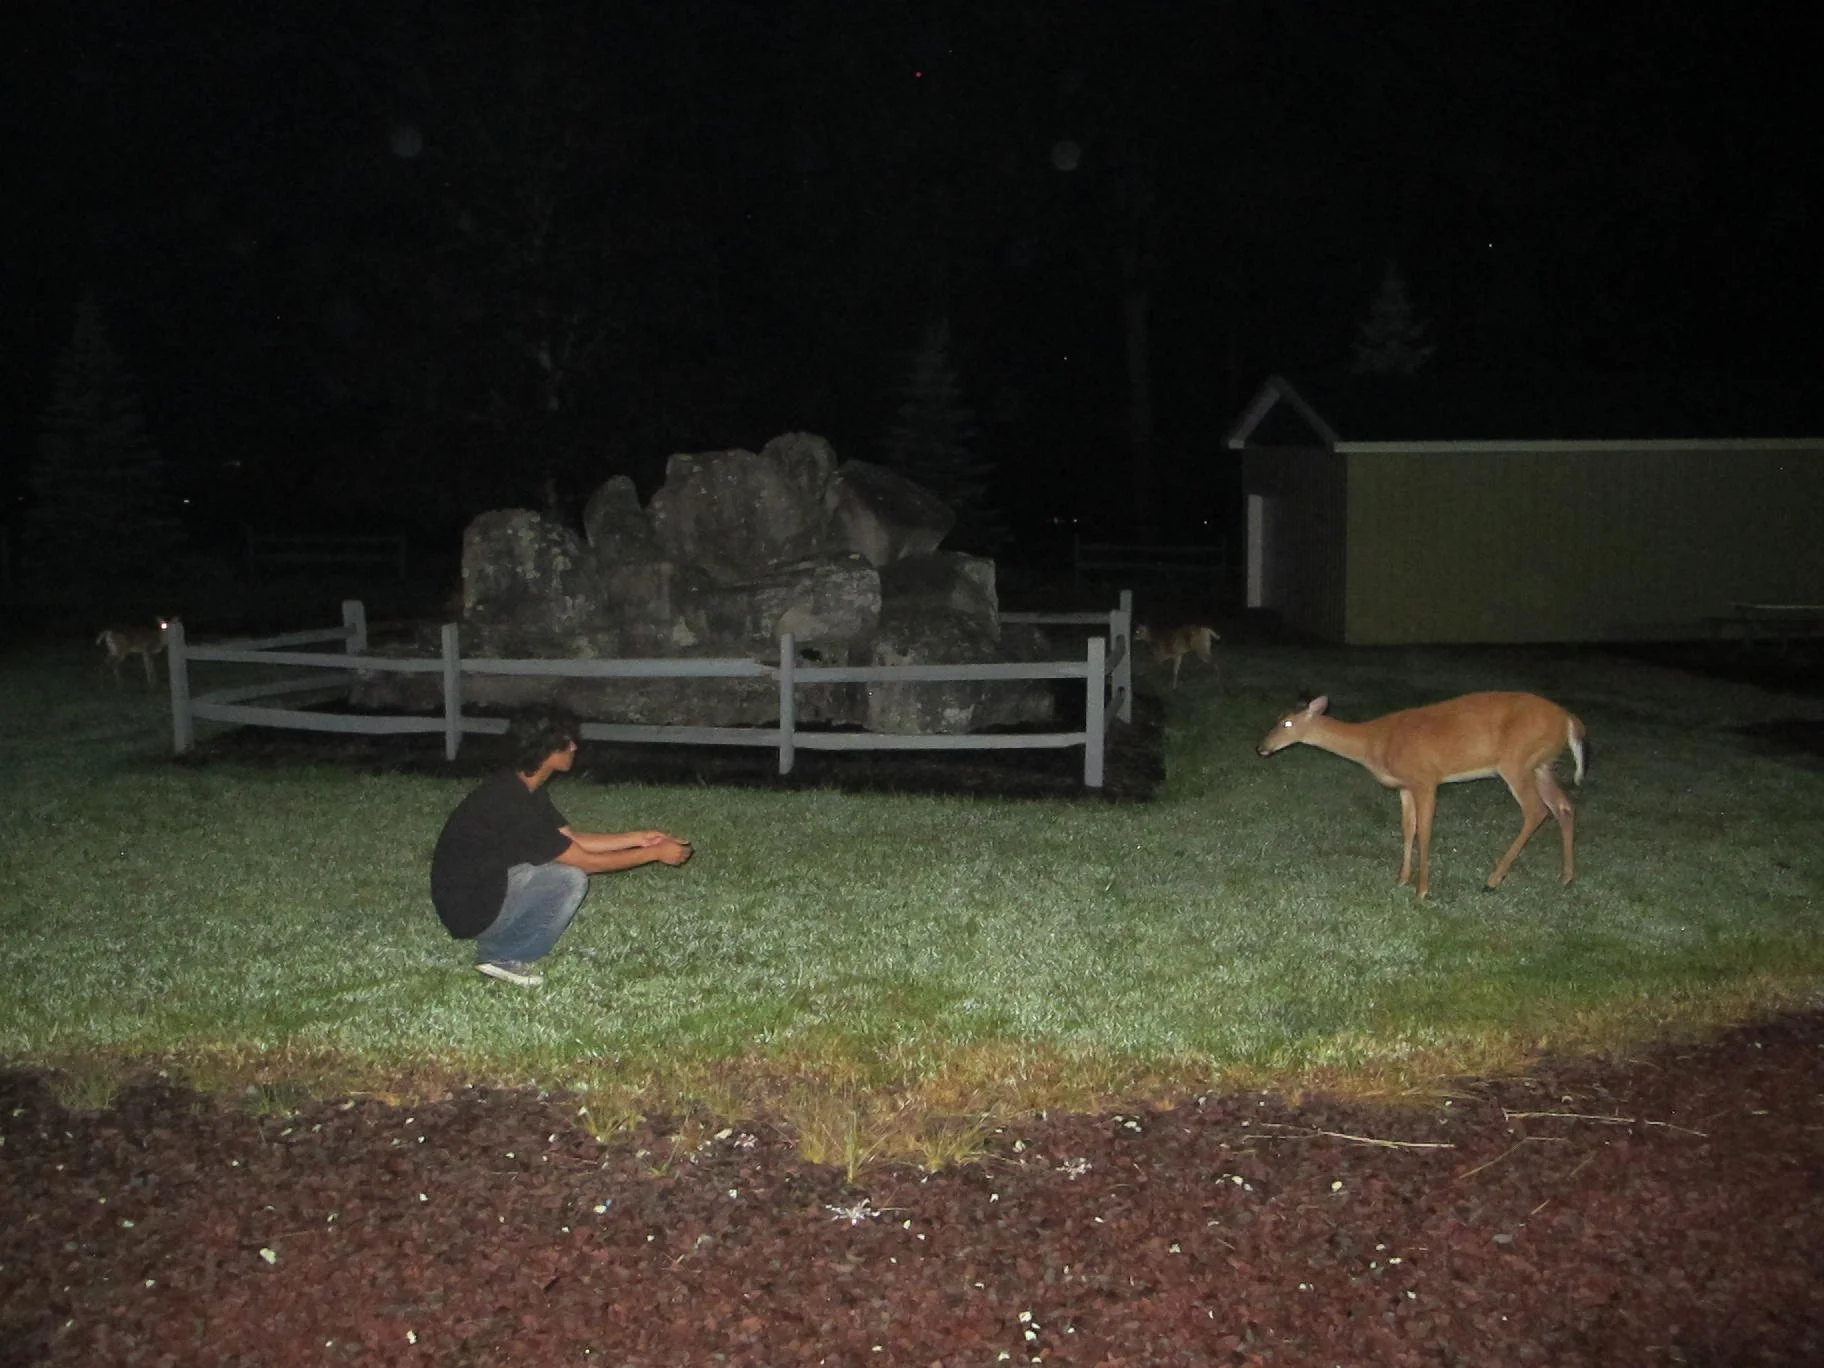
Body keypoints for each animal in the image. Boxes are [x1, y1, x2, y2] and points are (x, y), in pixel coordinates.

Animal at [1256, 691, 1586, 899]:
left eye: (1287, 723)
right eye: (1276, 719)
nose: (1261, 748)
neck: (1374, 742)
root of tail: (1570, 721)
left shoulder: (1426, 779)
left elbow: (1426, 831)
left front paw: (1422, 890)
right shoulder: (1405, 786)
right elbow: (1408, 829)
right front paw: (1402, 879)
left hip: (1517, 762)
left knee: (1536, 810)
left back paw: (1493, 880)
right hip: (1540, 764)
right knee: (1563, 806)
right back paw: (1566, 877)